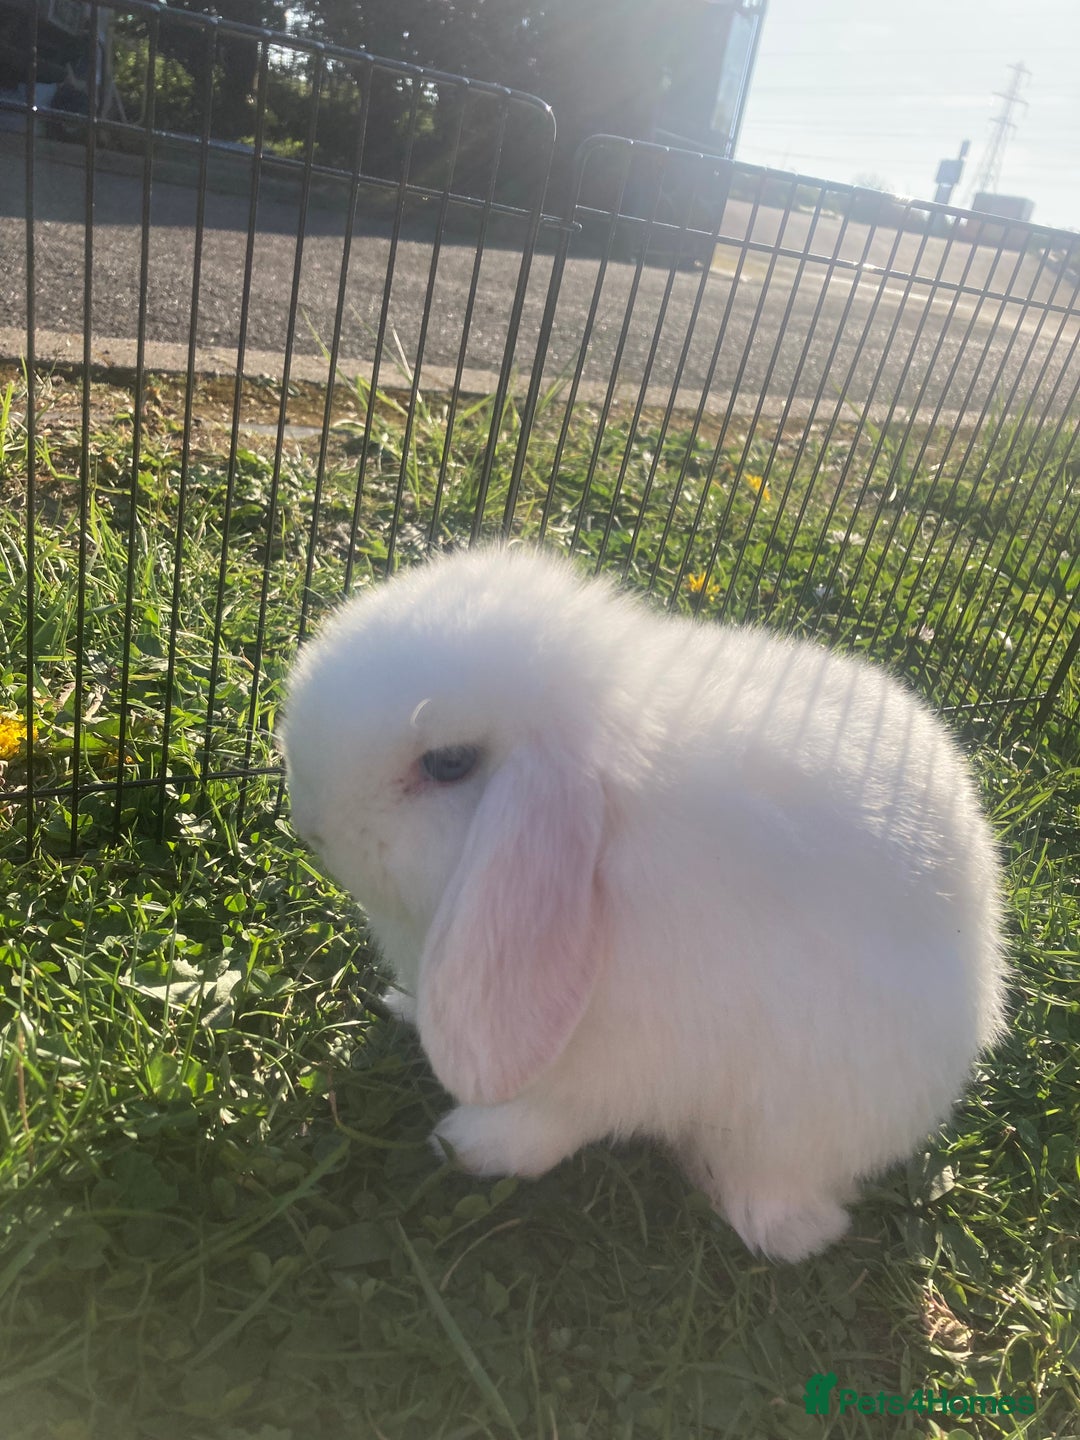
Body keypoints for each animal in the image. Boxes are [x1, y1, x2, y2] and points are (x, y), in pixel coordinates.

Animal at [280, 544, 1007, 1263]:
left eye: (449, 763)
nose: (311, 823)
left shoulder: (625, 1061)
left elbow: (552, 1121)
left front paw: (467, 1145)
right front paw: (402, 1006)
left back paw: (776, 1226)